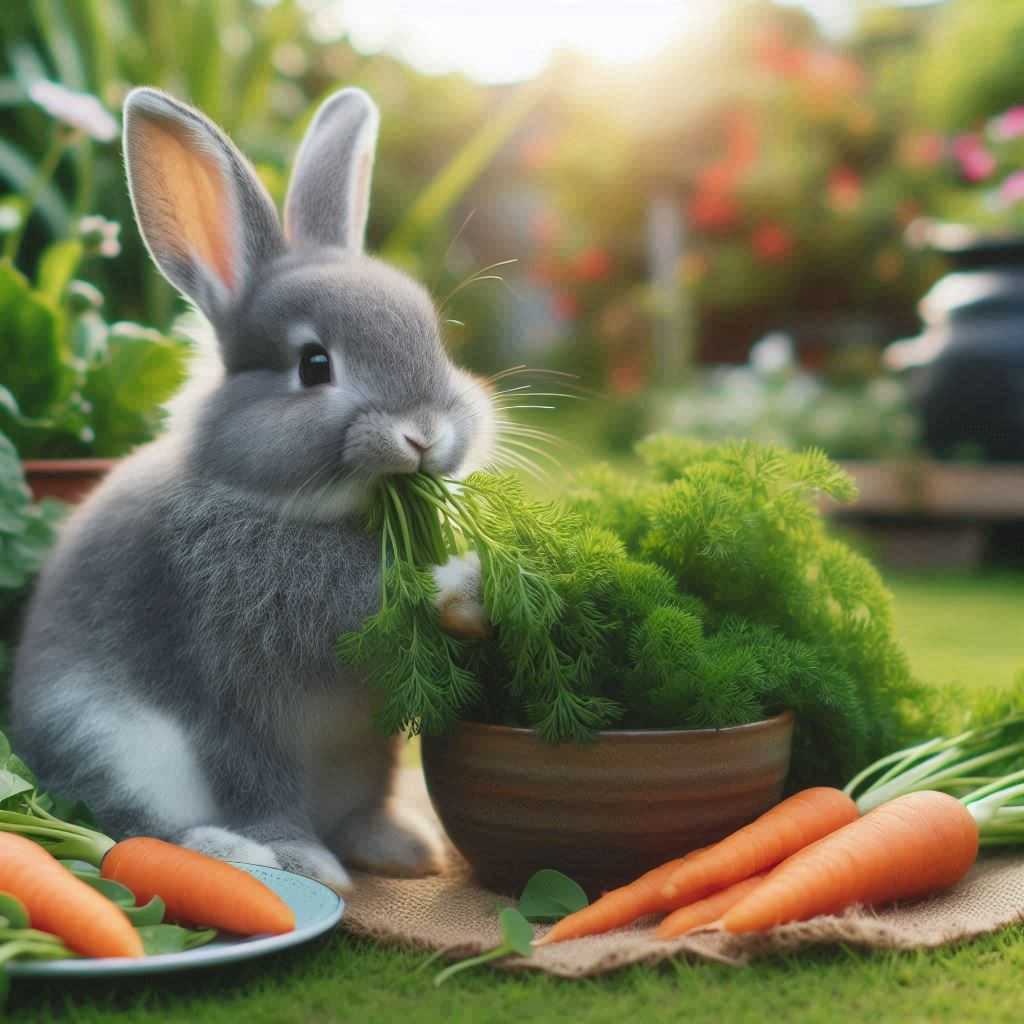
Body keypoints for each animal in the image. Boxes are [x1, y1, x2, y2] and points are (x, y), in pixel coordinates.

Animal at [9, 86, 497, 893]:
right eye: (313, 365)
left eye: (434, 337)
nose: (424, 433)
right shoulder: (235, 699)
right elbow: (256, 779)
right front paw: (305, 861)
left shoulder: (376, 726)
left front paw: (399, 847)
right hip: (107, 741)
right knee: (120, 829)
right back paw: (234, 854)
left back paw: (390, 844)